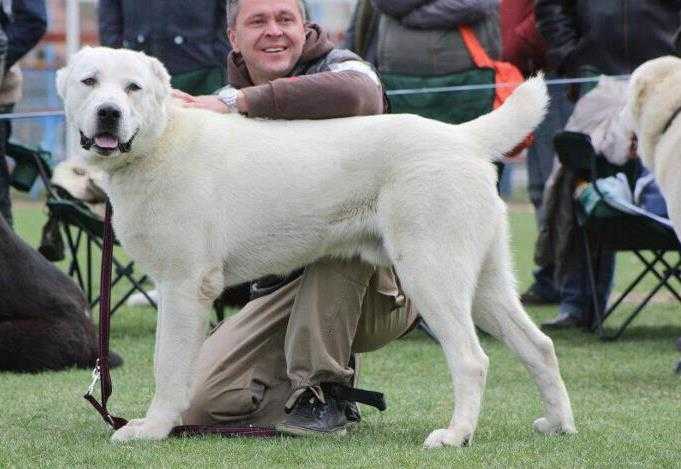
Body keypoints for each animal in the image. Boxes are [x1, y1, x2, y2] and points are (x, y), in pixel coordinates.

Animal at [57, 47, 572, 446]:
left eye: (133, 88)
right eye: (90, 82)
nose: (108, 113)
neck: (160, 139)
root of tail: (461, 135)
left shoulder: (184, 287)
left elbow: (167, 365)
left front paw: (153, 428)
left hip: (431, 274)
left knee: (471, 358)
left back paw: (455, 435)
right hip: (485, 281)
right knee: (539, 346)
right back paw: (558, 425)